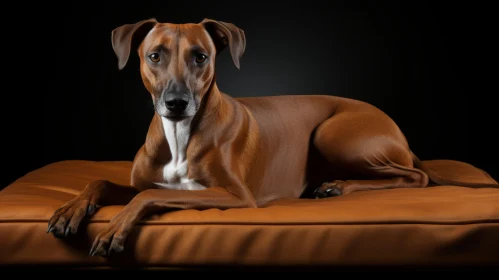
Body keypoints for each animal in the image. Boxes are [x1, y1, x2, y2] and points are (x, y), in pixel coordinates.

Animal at [46, 18, 496, 258]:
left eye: (201, 56)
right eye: (154, 55)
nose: (176, 103)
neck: (180, 137)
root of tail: (396, 128)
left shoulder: (235, 196)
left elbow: (148, 196)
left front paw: (113, 229)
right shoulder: (143, 179)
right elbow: (105, 180)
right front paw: (71, 209)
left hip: (333, 133)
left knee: (414, 177)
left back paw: (338, 186)